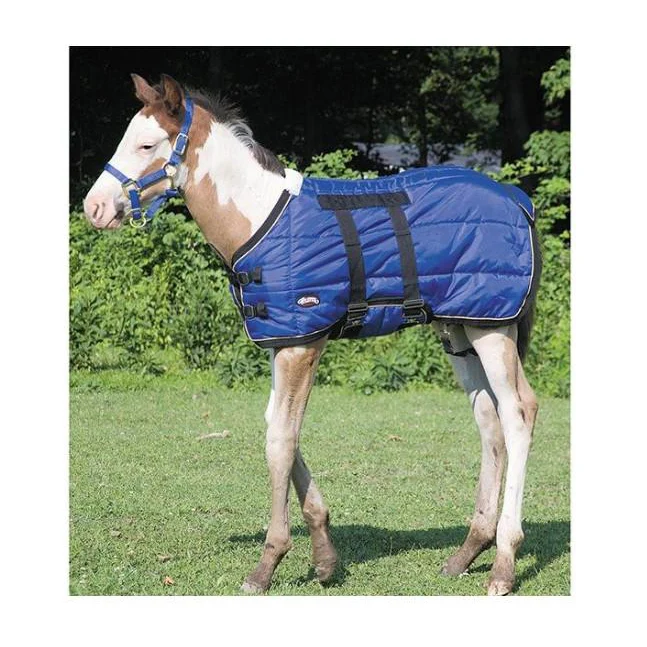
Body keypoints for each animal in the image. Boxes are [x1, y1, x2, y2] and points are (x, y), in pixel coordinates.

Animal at [82, 73, 540, 596]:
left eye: (147, 144)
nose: (94, 207)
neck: (260, 216)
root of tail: (518, 199)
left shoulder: (302, 343)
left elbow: (281, 439)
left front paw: (268, 563)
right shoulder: (282, 341)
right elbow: (279, 427)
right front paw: (324, 557)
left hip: (493, 329)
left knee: (518, 413)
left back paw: (504, 562)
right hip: (459, 330)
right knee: (488, 419)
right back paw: (467, 551)